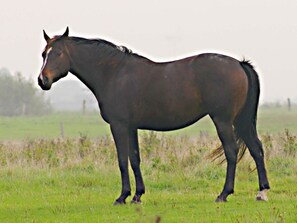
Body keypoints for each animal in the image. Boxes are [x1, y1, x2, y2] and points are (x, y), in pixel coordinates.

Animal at [37, 27, 268, 204]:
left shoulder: (119, 126)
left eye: (58, 53)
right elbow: (134, 159)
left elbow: (122, 160)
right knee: (256, 149)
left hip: (223, 120)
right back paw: (262, 192)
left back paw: (224, 194)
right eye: (43, 54)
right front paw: (137, 195)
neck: (114, 74)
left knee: (232, 152)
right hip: (241, 121)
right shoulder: (131, 127)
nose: (42, 80)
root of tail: (239, 64)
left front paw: (122, 197)